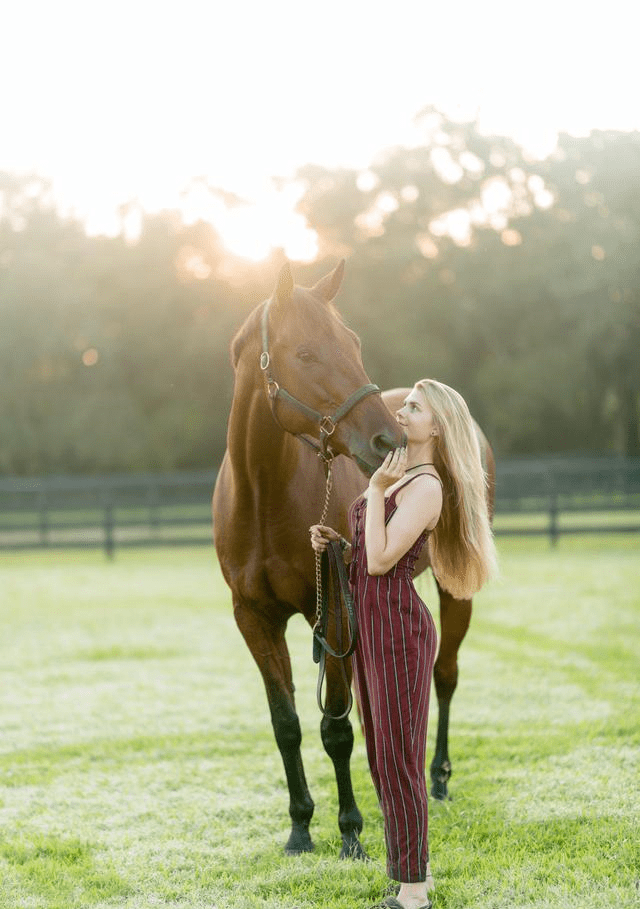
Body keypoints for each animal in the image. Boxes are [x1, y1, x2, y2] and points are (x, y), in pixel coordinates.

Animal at [212, 258, 498, 860]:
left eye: (353, 343)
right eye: (304, 353)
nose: (386, 440)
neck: (263, 494)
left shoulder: (334, 613)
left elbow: (336, 728)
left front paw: (349, 833)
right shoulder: (254, 618)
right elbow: (288, 725)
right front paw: (300, 828)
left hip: (452, 591)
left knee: (443, 675)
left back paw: (436, 778)